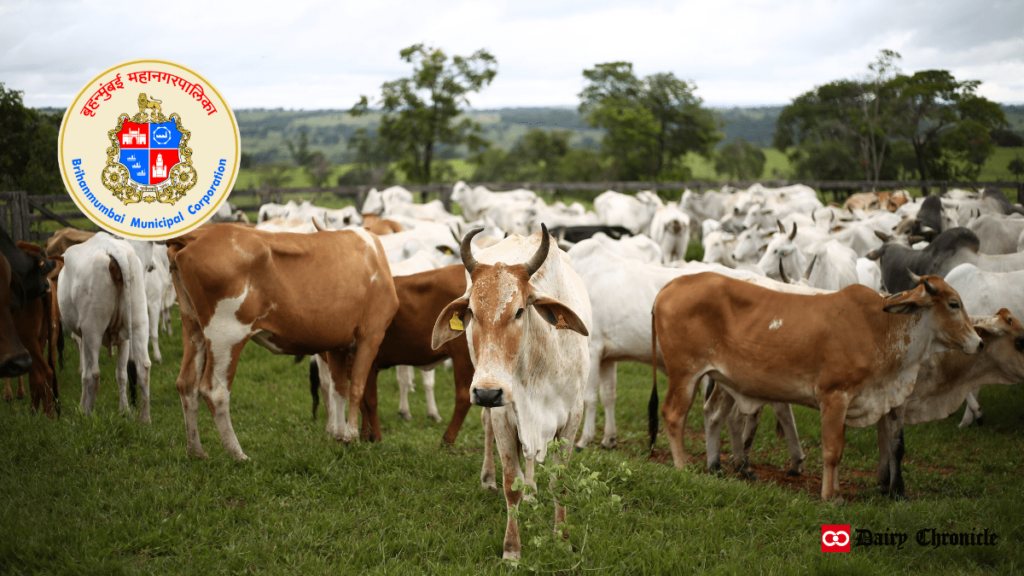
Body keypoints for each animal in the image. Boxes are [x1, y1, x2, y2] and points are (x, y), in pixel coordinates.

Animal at [58, 231, 151, 422]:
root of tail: (113, 249)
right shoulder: (124, 340)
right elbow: (121, 374)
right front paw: (125, 410)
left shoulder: (83, 337)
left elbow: (85, 374)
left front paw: (82, 407)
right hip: (139, 322)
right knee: (143, 367)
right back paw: (145, 420)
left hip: (93, 329)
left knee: (94, 373)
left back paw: (89, 415)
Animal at [167, 220, 395, 457]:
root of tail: (200, 234)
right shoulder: (372, 334)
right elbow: (357, 387)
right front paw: (352, 437)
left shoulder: (337, 343)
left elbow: (339, 388)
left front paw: (341, 436)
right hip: (225, 334)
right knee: (215, 391)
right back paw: (238, 454)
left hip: (193, 326)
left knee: (187, 383)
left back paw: (197, 452)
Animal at [311, 262, 475, 440]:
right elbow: (363, 402)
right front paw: (364, 435)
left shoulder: (365, 362)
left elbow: (370, 401)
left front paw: (375, 437)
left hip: (463, 357)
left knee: (464, 397)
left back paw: (447, 439)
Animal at [432, 224, 593, 557]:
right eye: (471, 312)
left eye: (519, 311)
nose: (487, 393)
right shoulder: (503, 415)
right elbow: (511, 484)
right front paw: (511, 550)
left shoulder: (573, 415)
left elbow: (560, 481)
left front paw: (562, 539)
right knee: (488, 431)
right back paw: (488, 478)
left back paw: (531, 491)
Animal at [651, 268, 978, 498]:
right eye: (953, 304)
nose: (979, 342)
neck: (881, 328)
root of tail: (669, 287)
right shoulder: (834, 396)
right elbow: (832, 451)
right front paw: (830, 496)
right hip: (685, 373)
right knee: (673, 415)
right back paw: (683, 467)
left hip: (719, 378)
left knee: (712, 414)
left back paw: (715, 467)